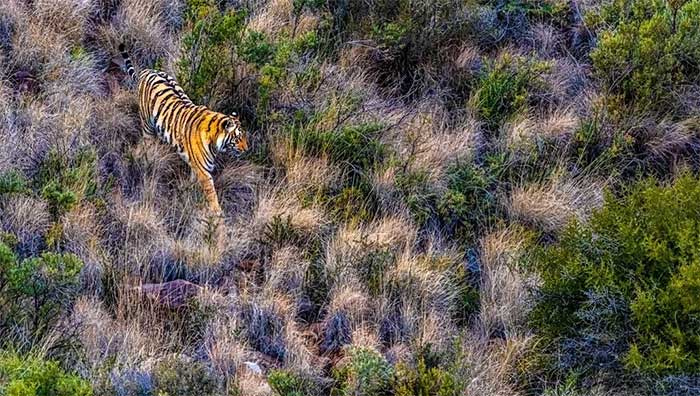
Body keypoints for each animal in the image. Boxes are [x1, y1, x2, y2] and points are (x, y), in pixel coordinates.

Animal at [119, 44, 249, 213]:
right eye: (238, 137)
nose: (247, 149)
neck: (215, 142)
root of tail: (146, 71)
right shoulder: (203, 171)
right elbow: (211, 193)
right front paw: (217, 214)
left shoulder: (199, 167)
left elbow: (192, 182)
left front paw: (186, 191)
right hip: (147, 126)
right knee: (145, 144)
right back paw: (141, 159)